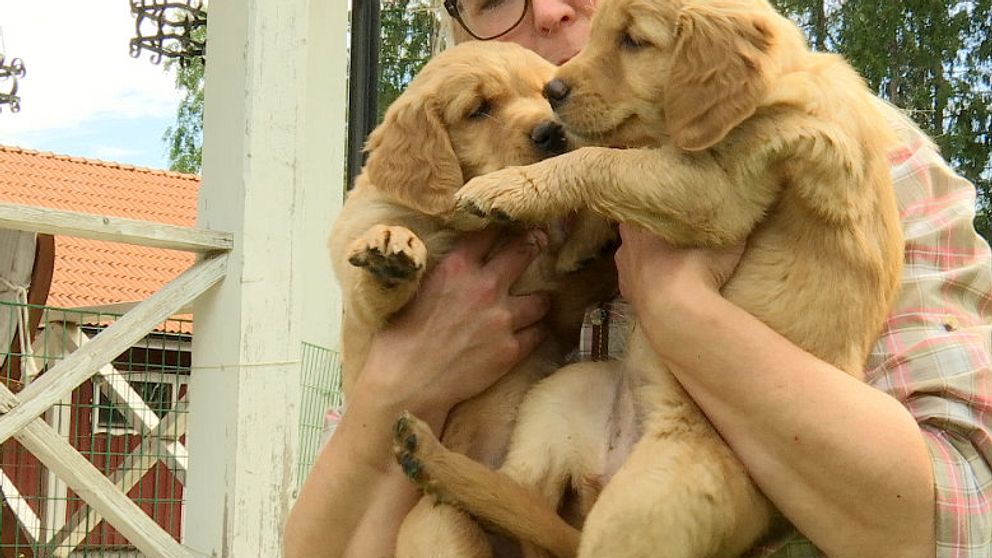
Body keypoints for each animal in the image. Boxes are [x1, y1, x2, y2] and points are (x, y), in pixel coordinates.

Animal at [330, 41, 616, 556]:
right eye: (479, 109)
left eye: (546, 95)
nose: (553, 132)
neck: (469, 227)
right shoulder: (364, 316)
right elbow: (372, 287)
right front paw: (389, 251)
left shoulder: (555, 301)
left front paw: (593, 234)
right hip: (440, 521)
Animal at [394, 0, 908, 556]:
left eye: (634, 42)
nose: (552, 91)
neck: (779, 88)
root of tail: (615, 460)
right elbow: (619, 154)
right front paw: (577, 245)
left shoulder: (719, 190)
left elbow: (601, 160)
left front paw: (510, 188)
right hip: (562, 397)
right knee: (518, 499)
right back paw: (429, 457)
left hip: (646, 502)